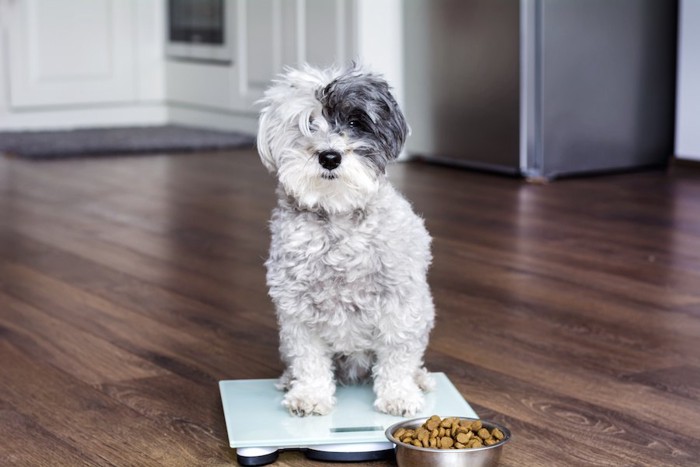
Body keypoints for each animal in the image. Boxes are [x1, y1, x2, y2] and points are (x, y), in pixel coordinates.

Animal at [254, 64, 434, 418]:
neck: (337, 216)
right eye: (308, 124)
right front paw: (309, 395)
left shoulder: (400, 304)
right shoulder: (298, 311)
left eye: (355, 123)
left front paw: (398, 395)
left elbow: (397, 355)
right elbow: (309, 359)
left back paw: (419, 379)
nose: (329, 156)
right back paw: (289, 379)